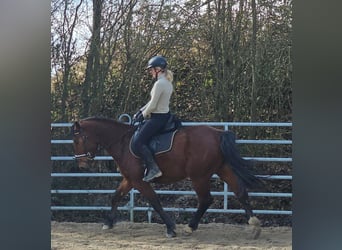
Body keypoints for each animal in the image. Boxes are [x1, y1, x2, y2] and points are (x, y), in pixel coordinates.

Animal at [71, 116, 264, 238]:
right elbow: (115, 197)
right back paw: (255, 226)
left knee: (206, 199)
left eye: (76, 140)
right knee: (240, 192)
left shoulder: (139, 181)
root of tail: (218, 133)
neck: (123, 142)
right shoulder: (129, 179)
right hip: (222, 169)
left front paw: (171, 228)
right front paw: (108, 223)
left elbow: (155, 202)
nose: (82, 165)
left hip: (199, 176)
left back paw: (190, 227)